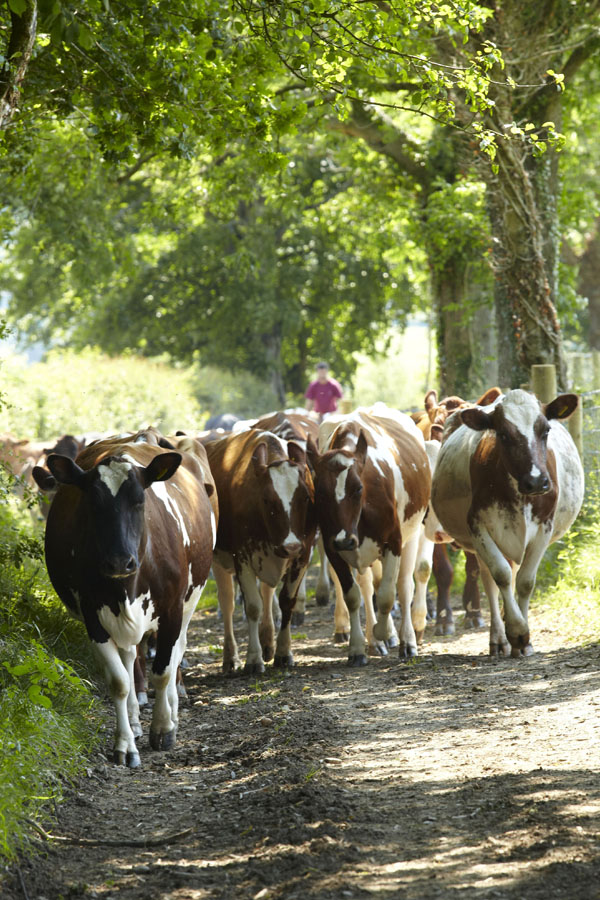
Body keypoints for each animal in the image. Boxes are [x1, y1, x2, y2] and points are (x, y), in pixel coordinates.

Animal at [206, 430, 316, 676]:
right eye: (267, 500)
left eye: (305, 497)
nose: (290, 546)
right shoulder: (242, 557)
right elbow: (253, 607)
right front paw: (253, 658)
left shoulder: (302, 555)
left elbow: (286, 602)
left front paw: (283, 652)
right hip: (218, 562)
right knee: (227, 604)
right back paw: (231, 657)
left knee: (267, 592)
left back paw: (268, 642)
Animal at [310, 404, 432, 664]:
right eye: (320, 493)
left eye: (358, 488)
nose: (344, 540)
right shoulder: (333, 548)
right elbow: (353, 596)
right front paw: (358, 647)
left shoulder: (393, 542)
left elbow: (387, 594)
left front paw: (383, 632)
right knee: (367, 586)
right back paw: (375, 641)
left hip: (411, 535)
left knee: (404, 586)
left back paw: (406, 640)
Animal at [434, 390, 584, 656]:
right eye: (503, 434)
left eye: (545, 430)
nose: (536, 481)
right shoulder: (478, 526)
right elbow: (501, 576)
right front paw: (516, 632)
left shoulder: (544, 527)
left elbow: (524, 582)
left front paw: (525, 641)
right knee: (490, 581)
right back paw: (499, 639)